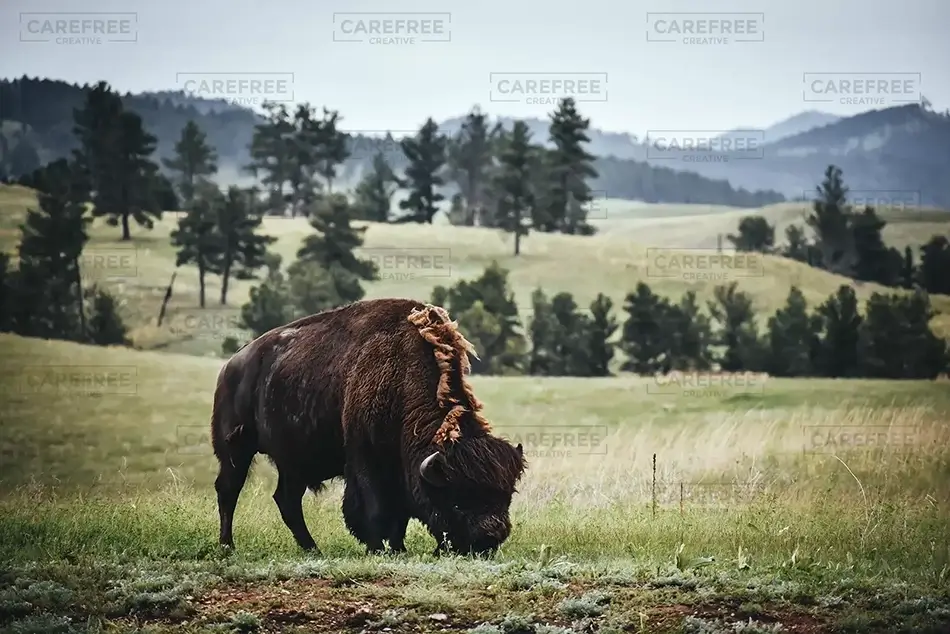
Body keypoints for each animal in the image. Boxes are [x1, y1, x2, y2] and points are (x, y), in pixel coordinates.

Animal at [210, 298, 526, 555]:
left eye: (506, 497)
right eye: (457, 500)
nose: (489, 539)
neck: (402, 373)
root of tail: (231, 365)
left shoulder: (399, 470)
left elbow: (399, 516)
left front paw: (398, 549)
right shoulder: (365, 460)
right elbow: (374, 510)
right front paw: (377, 548)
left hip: (293, 462)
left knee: (287, 500)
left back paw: (313, 549)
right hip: (236, 449)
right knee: (229, 490)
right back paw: (228, 546)